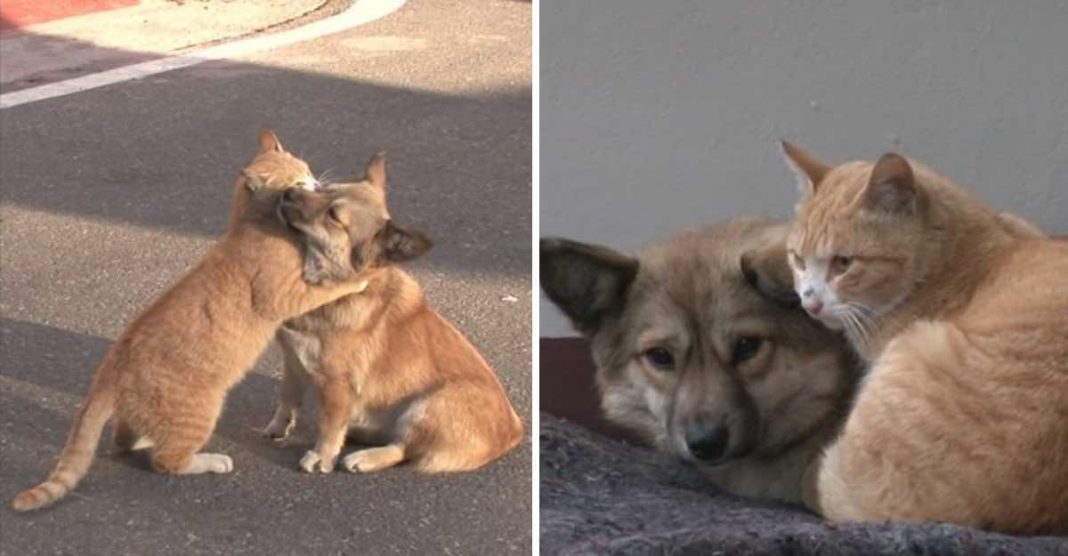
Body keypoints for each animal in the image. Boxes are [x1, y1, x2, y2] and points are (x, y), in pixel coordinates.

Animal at [9, 131, 367, 512]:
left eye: (308, 171)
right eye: (297, 185)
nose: (318, 184)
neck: (253, 224)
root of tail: (111, 367)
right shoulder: (286, 296)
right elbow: (329, 287)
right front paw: (358, 279)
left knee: (123, 437)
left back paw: (142, 440)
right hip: (202, 411)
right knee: (167, 461)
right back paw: (209, 461)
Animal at [262, 154, 521, 471]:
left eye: (333, 216)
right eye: (323, 189)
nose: (288, 192)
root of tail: (514, 431)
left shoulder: (337, 386)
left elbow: (329, 425)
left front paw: (321, 456)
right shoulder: (293, 363)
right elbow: (287, 399)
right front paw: (278, 426)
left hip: (427, 406)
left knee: (404, 448)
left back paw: (365, 457)